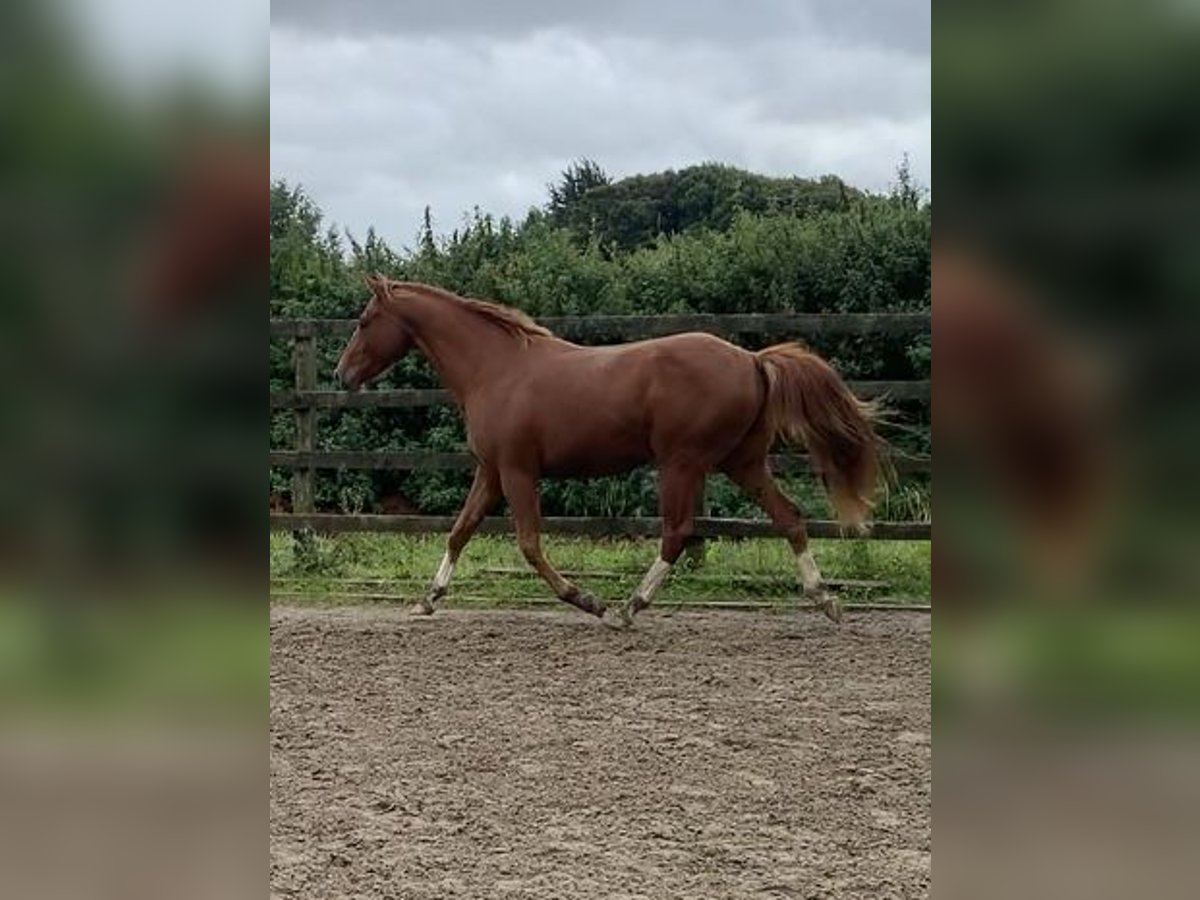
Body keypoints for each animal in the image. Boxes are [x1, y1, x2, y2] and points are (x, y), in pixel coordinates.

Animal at [333, 278, 878, 628]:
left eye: (364, 319)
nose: (342, 374)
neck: (496, 368)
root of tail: (752, 359)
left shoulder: (517, 471)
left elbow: (529, 544)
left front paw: (586, 600)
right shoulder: (490, 471)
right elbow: (459, 532)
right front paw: (427, 600)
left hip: (682, 463)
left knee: (677, 532)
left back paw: (627, 608)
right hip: (741, 462)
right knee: (790, 517)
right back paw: (825, 600)